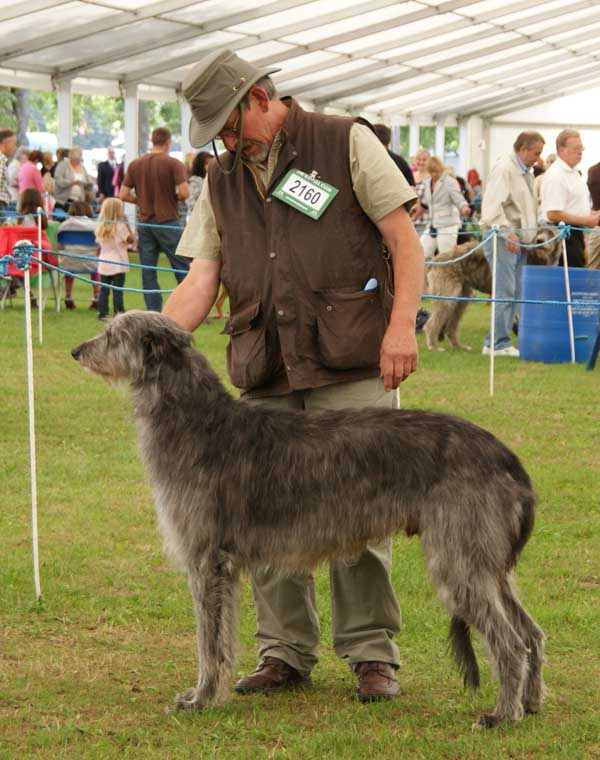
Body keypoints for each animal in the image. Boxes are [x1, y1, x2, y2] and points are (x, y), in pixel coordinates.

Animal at [72, 312, 548, 728]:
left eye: (114, 335)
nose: (77, 350)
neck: (196, 421)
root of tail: (506, 457)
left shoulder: (207, 561)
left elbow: (210, 642)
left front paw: (200, 699)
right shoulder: (225, 567)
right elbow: (222, 637)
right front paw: (211, 693)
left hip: (459, 556)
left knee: (509, 642)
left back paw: (501, 715)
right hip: (487, 561)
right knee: (530, 633)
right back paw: (529, 703)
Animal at [424, 230, 560, 352]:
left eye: (550, 233)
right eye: (539, 232)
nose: (540, 241)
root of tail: (436, 258)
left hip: (461, 298)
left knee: (451, 324)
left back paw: (459, 346)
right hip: (447, 293)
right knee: (432, 322)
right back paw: (433, 346)